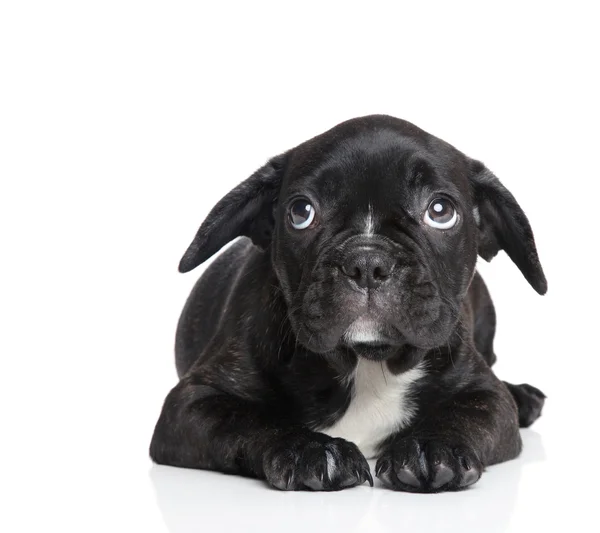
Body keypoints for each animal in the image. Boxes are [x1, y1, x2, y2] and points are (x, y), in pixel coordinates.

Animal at [149, 114, 544, 492]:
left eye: (440, 211)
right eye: (301, 212)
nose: (367, 262)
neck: (368, 361)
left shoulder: (486, 396)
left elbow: (466, 413)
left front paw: (431, 447)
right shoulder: (192, 402)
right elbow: (251, 420)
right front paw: (309, 448)